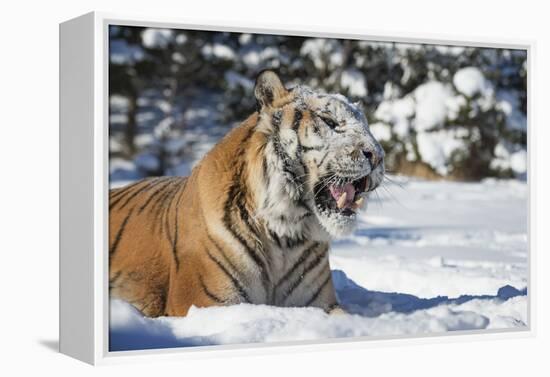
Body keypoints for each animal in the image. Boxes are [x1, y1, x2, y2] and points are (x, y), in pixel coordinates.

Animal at [110, 71, 386, 318]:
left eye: (367, 127)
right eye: (329, 121)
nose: (378, 157)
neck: (286, 235)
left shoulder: (322, 304)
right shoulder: (206, 302)